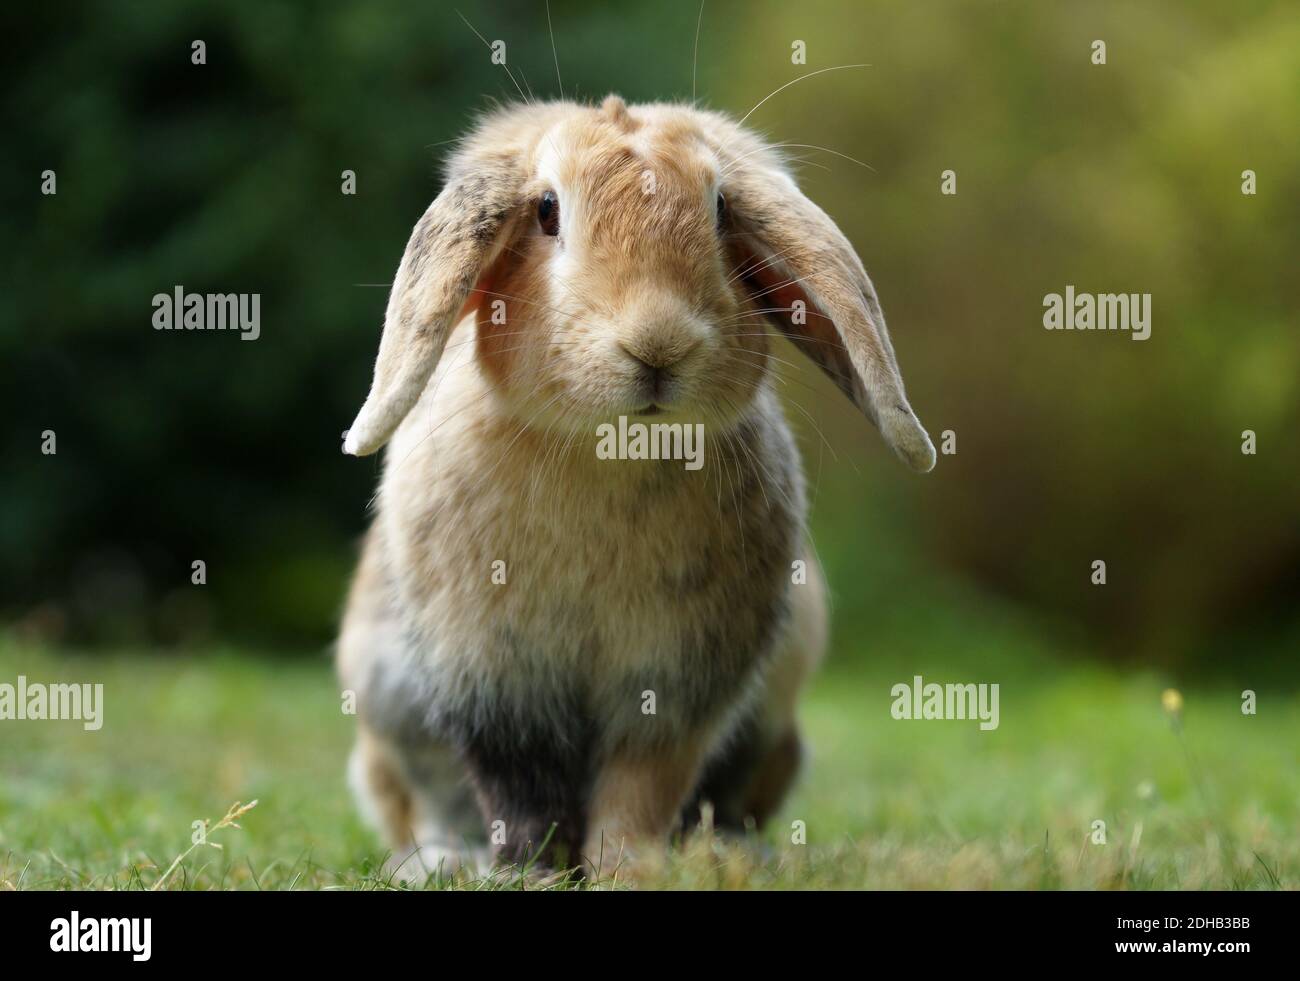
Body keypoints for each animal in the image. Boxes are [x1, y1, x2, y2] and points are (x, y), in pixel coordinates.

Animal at [336, 94, 934, 880]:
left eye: (719, 208)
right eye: (547, 211)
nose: (658, 343)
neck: (608, 451)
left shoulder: (678, 685)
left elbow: (641, 787)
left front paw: (632, 869)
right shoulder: (493, 676)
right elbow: (521, 790)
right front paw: (530, 873)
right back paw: (439, 861)